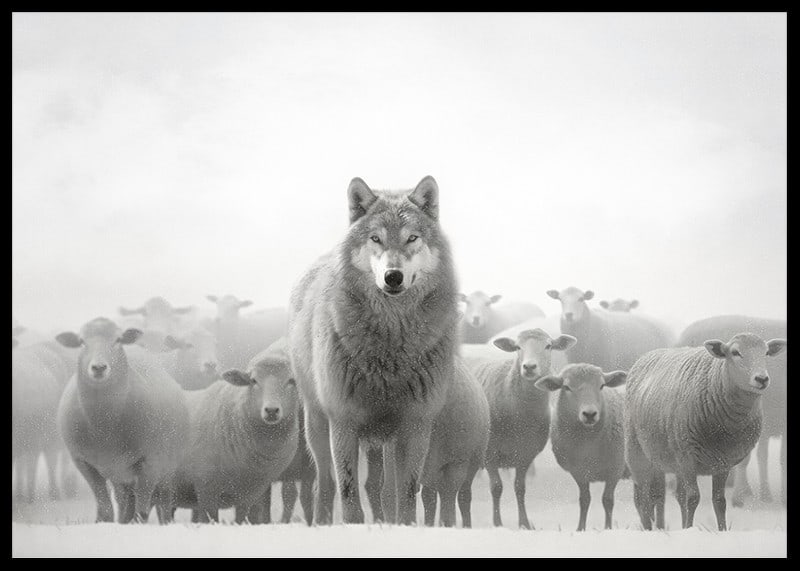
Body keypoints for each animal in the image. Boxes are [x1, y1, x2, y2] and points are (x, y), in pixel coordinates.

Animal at [287, 175, 459, 525]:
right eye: (376, 238)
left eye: (412, 238)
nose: (393, 276)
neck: (391, 347)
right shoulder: (343, 421)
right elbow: (348, 492)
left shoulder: (416, 424)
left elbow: (407, 493)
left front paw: (404, 527)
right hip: (317, 425)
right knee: (324, 484)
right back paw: (321, 523)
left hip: (387, 442)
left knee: (384, 490)